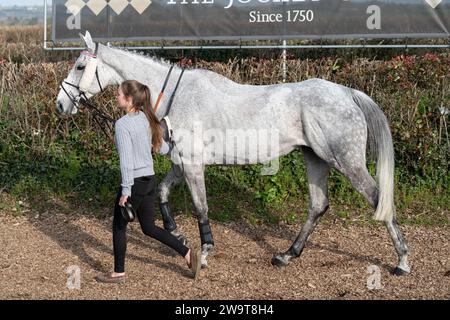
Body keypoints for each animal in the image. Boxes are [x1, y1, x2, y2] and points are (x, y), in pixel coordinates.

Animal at [54, 31, 410, 276]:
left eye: (80, 65)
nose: (60, 104)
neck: (178, 97)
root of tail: (348, 94)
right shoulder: (181, 164)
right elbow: (165, 194)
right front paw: (175, 232)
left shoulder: (193, 165)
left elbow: (200, 207)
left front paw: (204, 253)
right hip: (315, 159)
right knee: (318, 205)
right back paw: (285, 255)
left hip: (346, 160)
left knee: (378, 199)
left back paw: (402, 262)